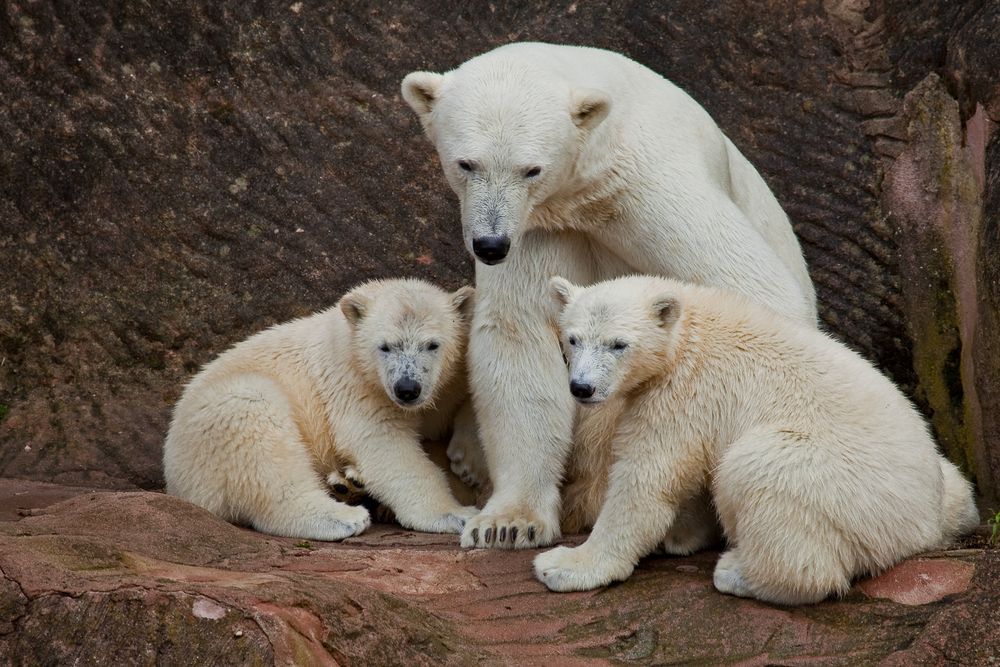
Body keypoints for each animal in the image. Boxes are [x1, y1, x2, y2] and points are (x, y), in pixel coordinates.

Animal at [402, 44, 816, 552]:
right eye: (466, 164)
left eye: (531, 168)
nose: (491, 245)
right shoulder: (542, 226)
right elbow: (521, 333)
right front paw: (508, 522)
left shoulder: (650, 184)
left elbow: (750, 288)